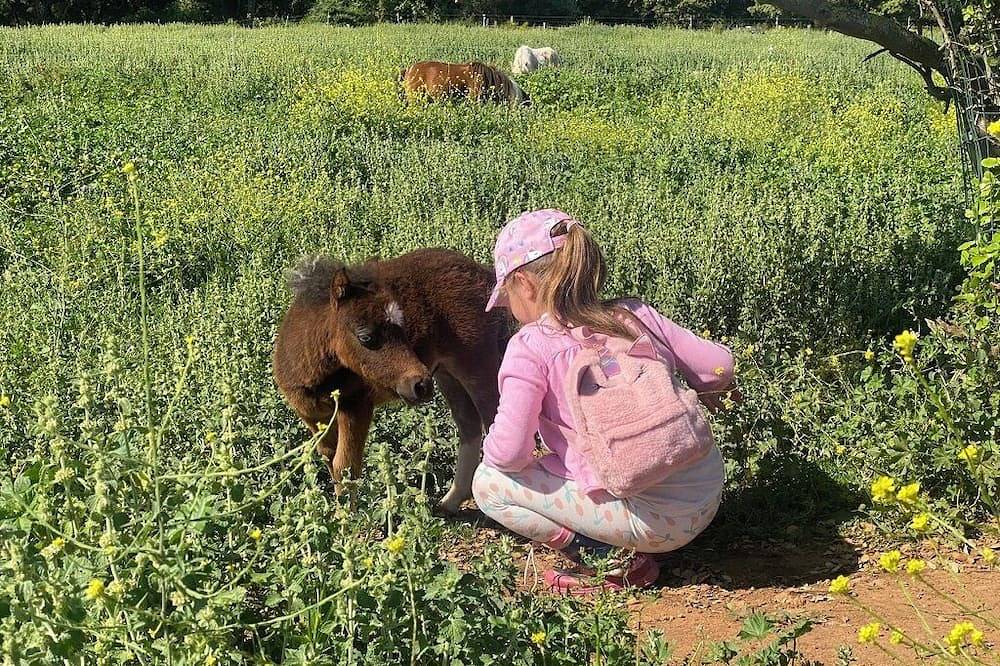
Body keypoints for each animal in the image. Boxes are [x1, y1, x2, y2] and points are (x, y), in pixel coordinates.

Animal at [273, 248, 508, 515]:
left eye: (403, 328)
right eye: (366, 337)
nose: (420, 384)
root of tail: (484, 274)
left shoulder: (356, 405)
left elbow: (345, 464)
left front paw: (350, 520)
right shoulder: (311, 416)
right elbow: (329, 457)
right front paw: (338, 514)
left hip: (476, 363)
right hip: (447, 373)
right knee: (469, 424)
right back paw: (450, 501)